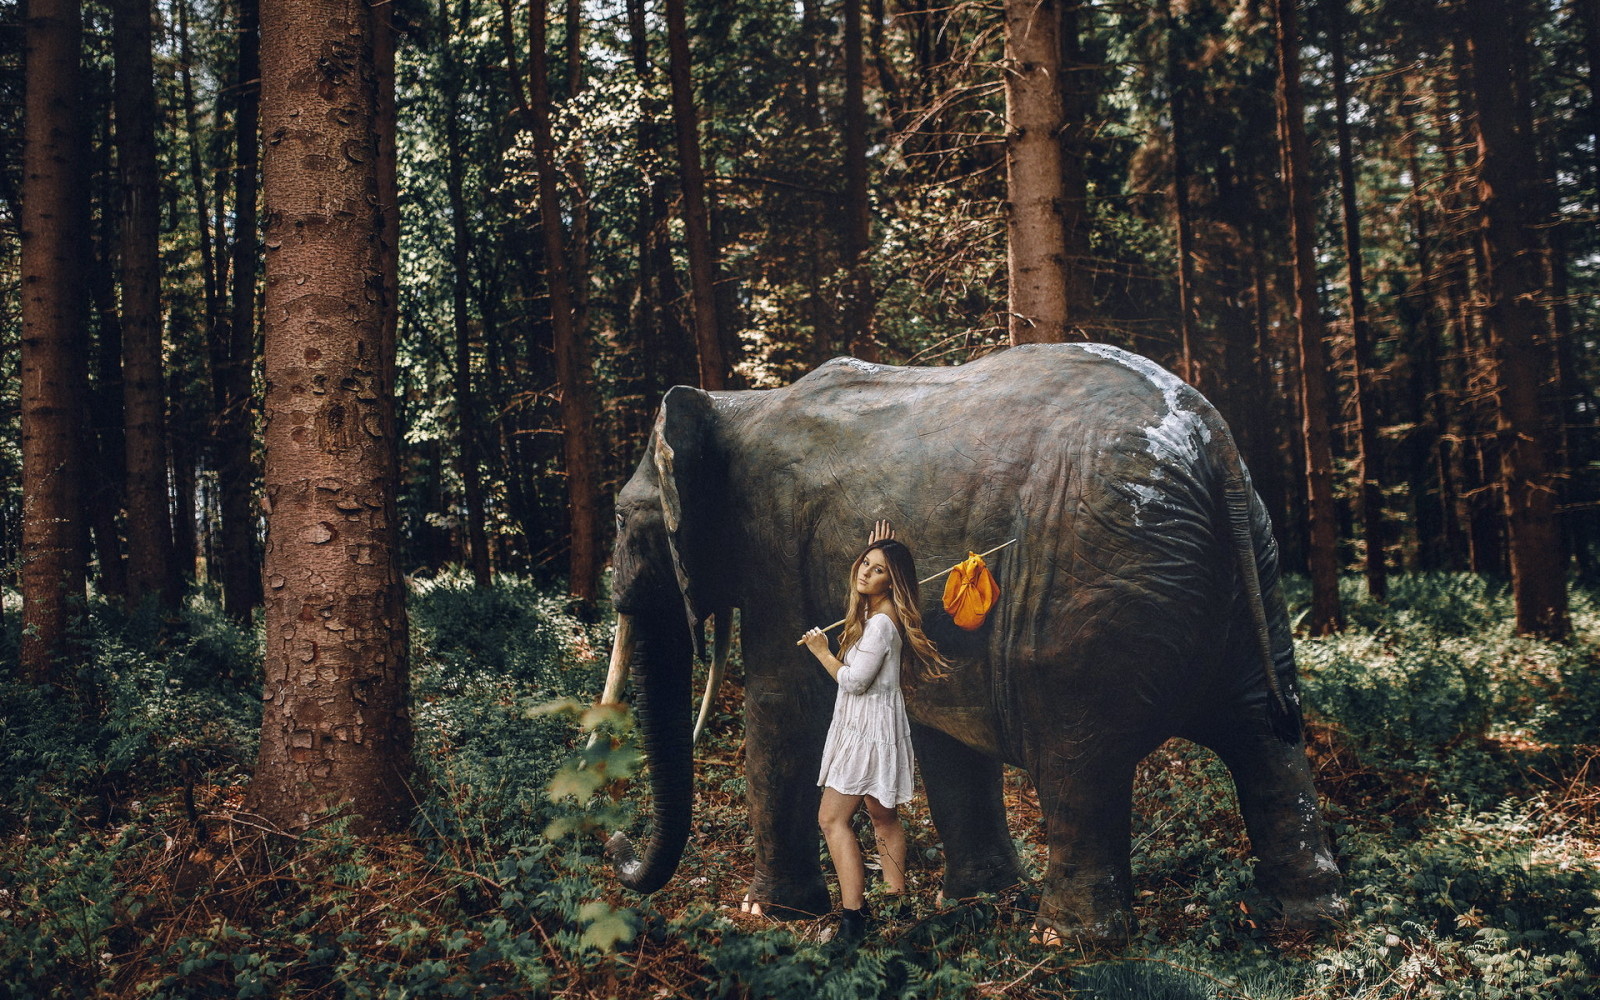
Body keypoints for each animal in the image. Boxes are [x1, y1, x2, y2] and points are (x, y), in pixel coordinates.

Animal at [604, 340, 1344, 934]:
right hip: (1249, 577)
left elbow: (784, 712)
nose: (615, 850)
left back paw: (1066, 939)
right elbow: (939, 731)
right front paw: (975, 900)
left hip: (1095, 588)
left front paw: (770, 913)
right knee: (1266, 734)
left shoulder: (774, 549)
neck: (741, 404)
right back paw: (1310, 915)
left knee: (1080, 762)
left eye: (621, 519)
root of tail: (1213, 442)